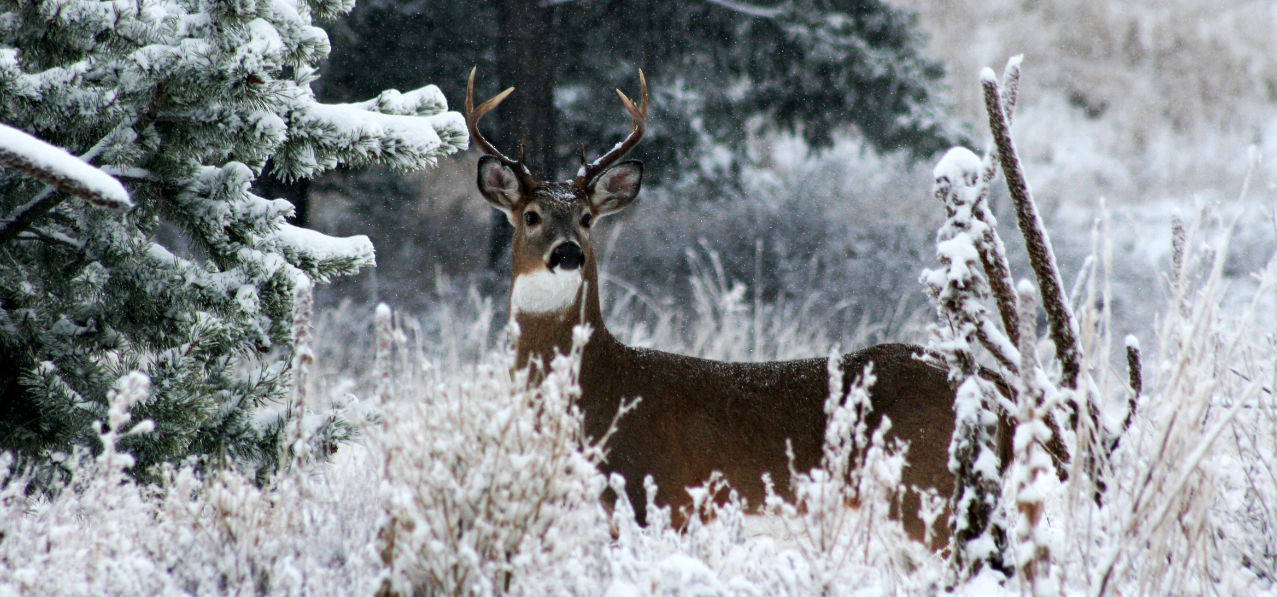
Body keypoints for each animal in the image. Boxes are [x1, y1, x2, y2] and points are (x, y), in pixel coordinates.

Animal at [464, 68, 1021, 551]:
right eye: (530, 215)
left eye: (585, 218)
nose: (567, 254)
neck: (603, 385)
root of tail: (997, 392)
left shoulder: (657, 494)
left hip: (925, 490)